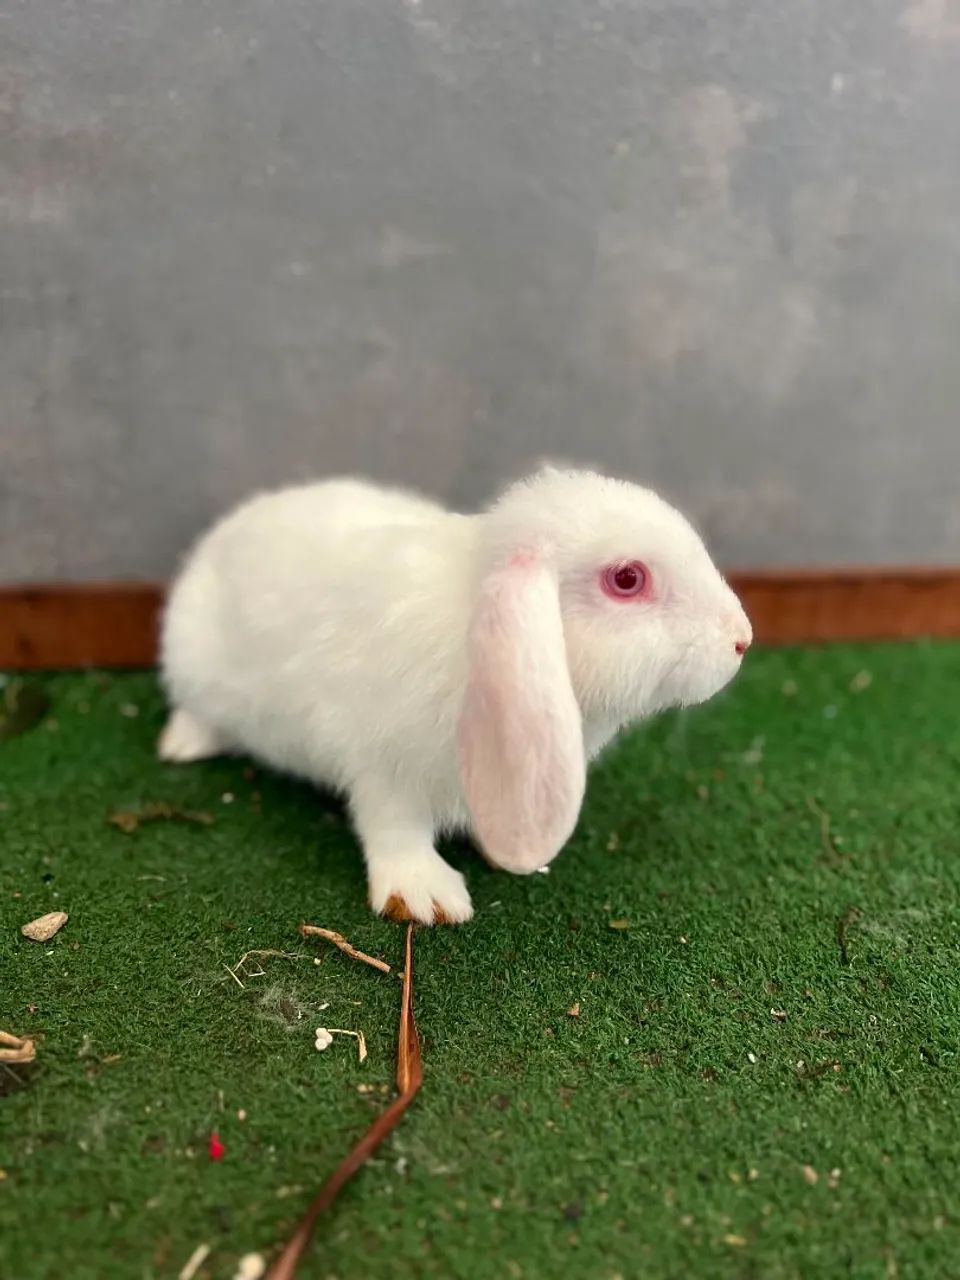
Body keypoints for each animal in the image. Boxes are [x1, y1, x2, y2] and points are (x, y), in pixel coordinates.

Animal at [159, 465, 751, 924]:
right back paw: (182, 746)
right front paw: (426, 898)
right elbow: (394, 829)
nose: (742, 639)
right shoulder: (382, 768)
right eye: (627, 579)